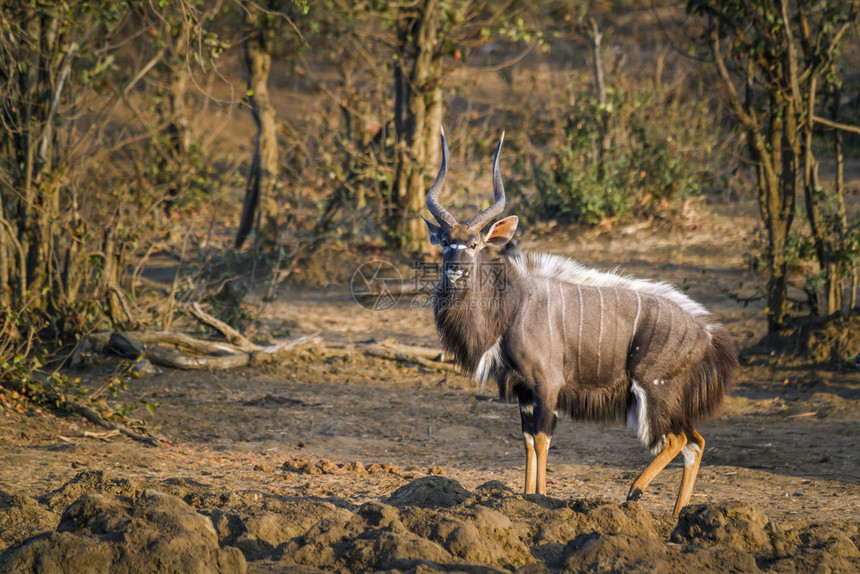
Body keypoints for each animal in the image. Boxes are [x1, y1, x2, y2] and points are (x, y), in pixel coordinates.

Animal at [424, 129, 740, 516]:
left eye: (473, 244)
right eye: (445, 242)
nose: (455, 268)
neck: (511, 307)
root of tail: (708, 334)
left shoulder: (548, 385)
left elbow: (542, 438)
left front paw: (541, 497)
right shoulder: (523, 390)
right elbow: (527, 440)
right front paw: (523, 496)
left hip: (654, 391)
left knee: (679, 438)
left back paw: (635, 491)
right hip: (669, 400)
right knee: (696, 442)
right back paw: (678, 514)